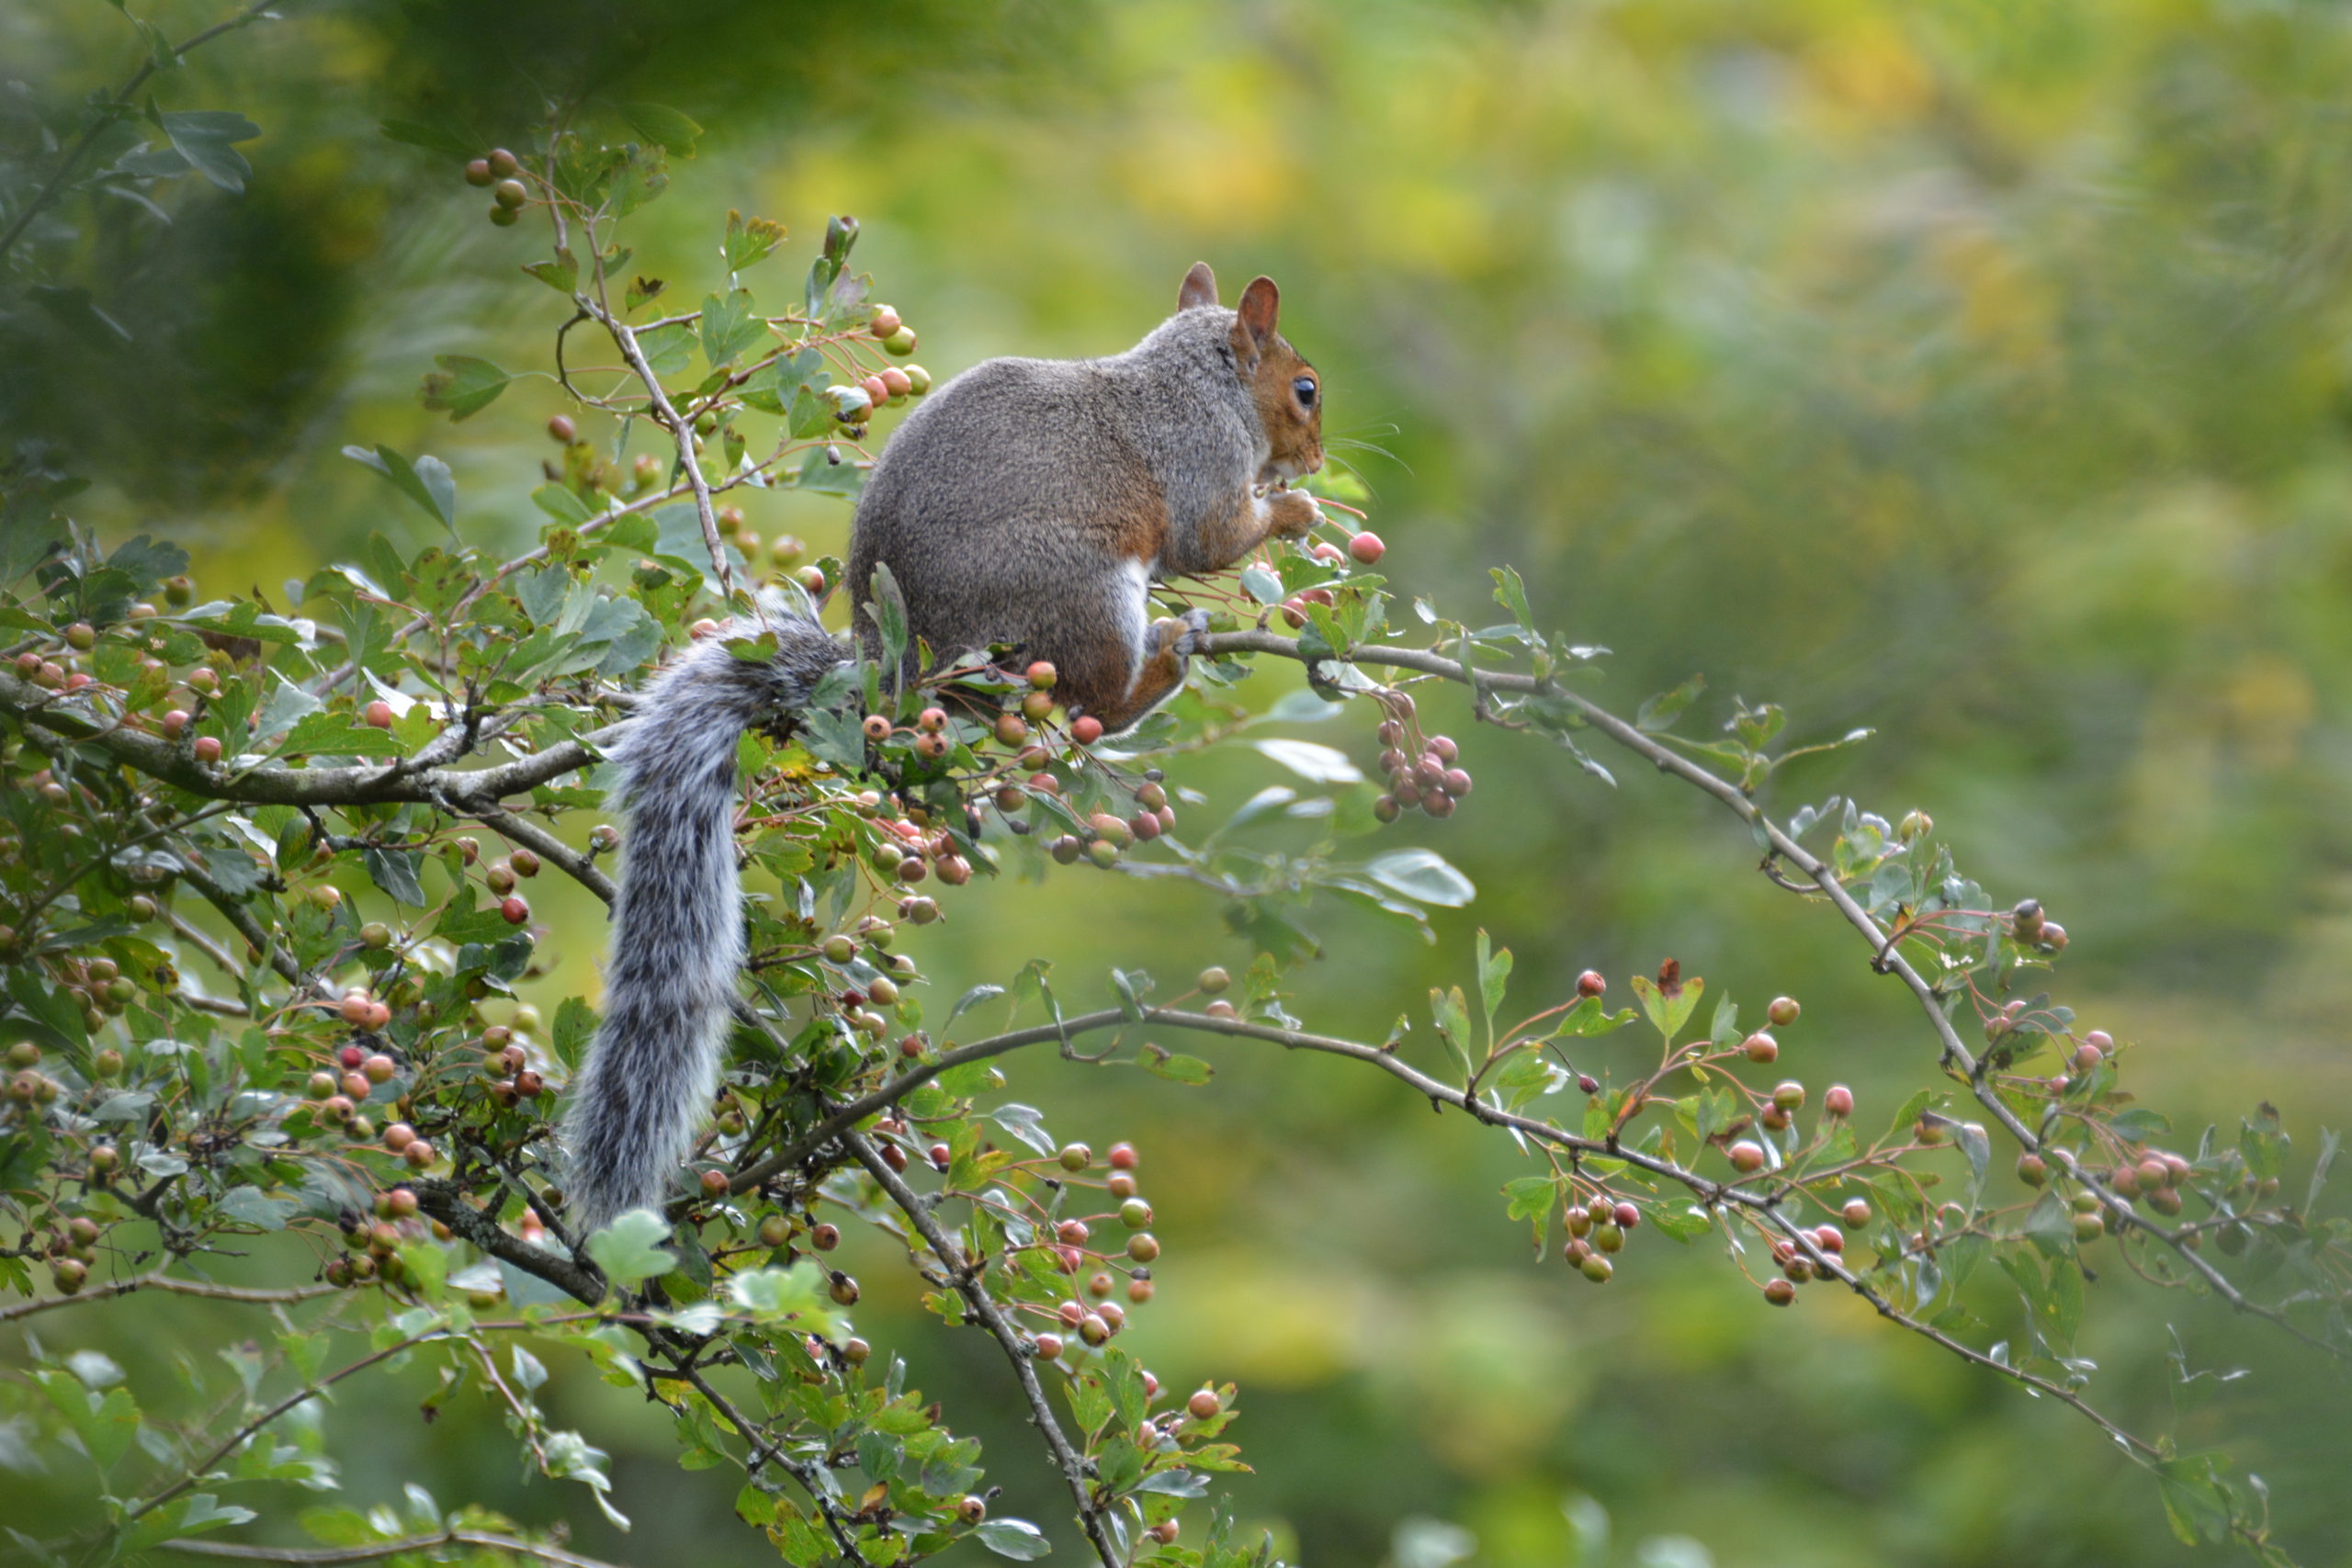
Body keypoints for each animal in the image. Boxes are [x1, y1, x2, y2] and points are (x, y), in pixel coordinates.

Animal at [552, 266, 1326, 1241]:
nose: (1316, 461)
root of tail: (901, 667)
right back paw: (1166, 659)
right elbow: (1214, 537)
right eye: (1306, 390)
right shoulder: (1201, 462)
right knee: (1101, 706)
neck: (1202, 379)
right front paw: (1291, 509)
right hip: (1083, 596)